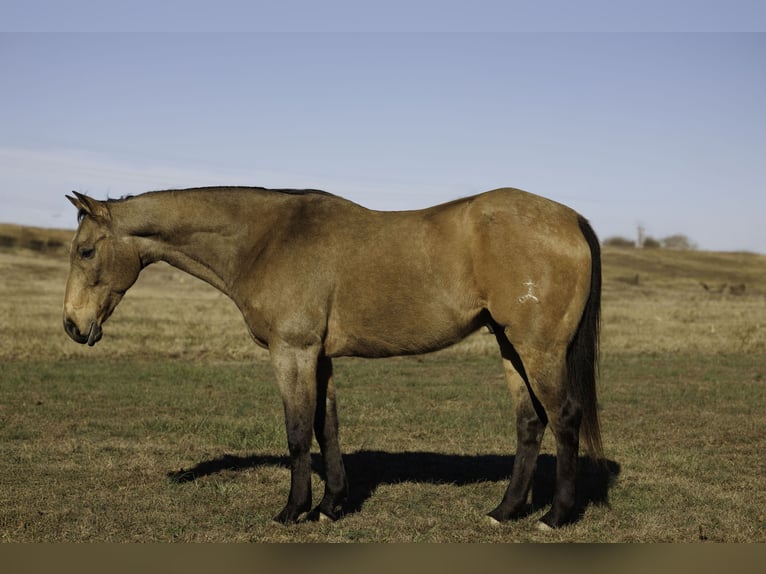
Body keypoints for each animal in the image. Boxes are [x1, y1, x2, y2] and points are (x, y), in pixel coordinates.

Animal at [63, 186, 603, 530]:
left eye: (86, 251)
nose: (71, 325)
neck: (268, 240)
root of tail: (570, 219)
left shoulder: (293, 352)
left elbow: (299, 432)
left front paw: (292, 511)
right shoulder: (319, 357)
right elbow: (328, 427)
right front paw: (331, 505)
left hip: (538, 348)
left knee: (563, 418)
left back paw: (555, 517)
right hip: (511, 347)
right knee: (530, 423)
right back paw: (504, 511)